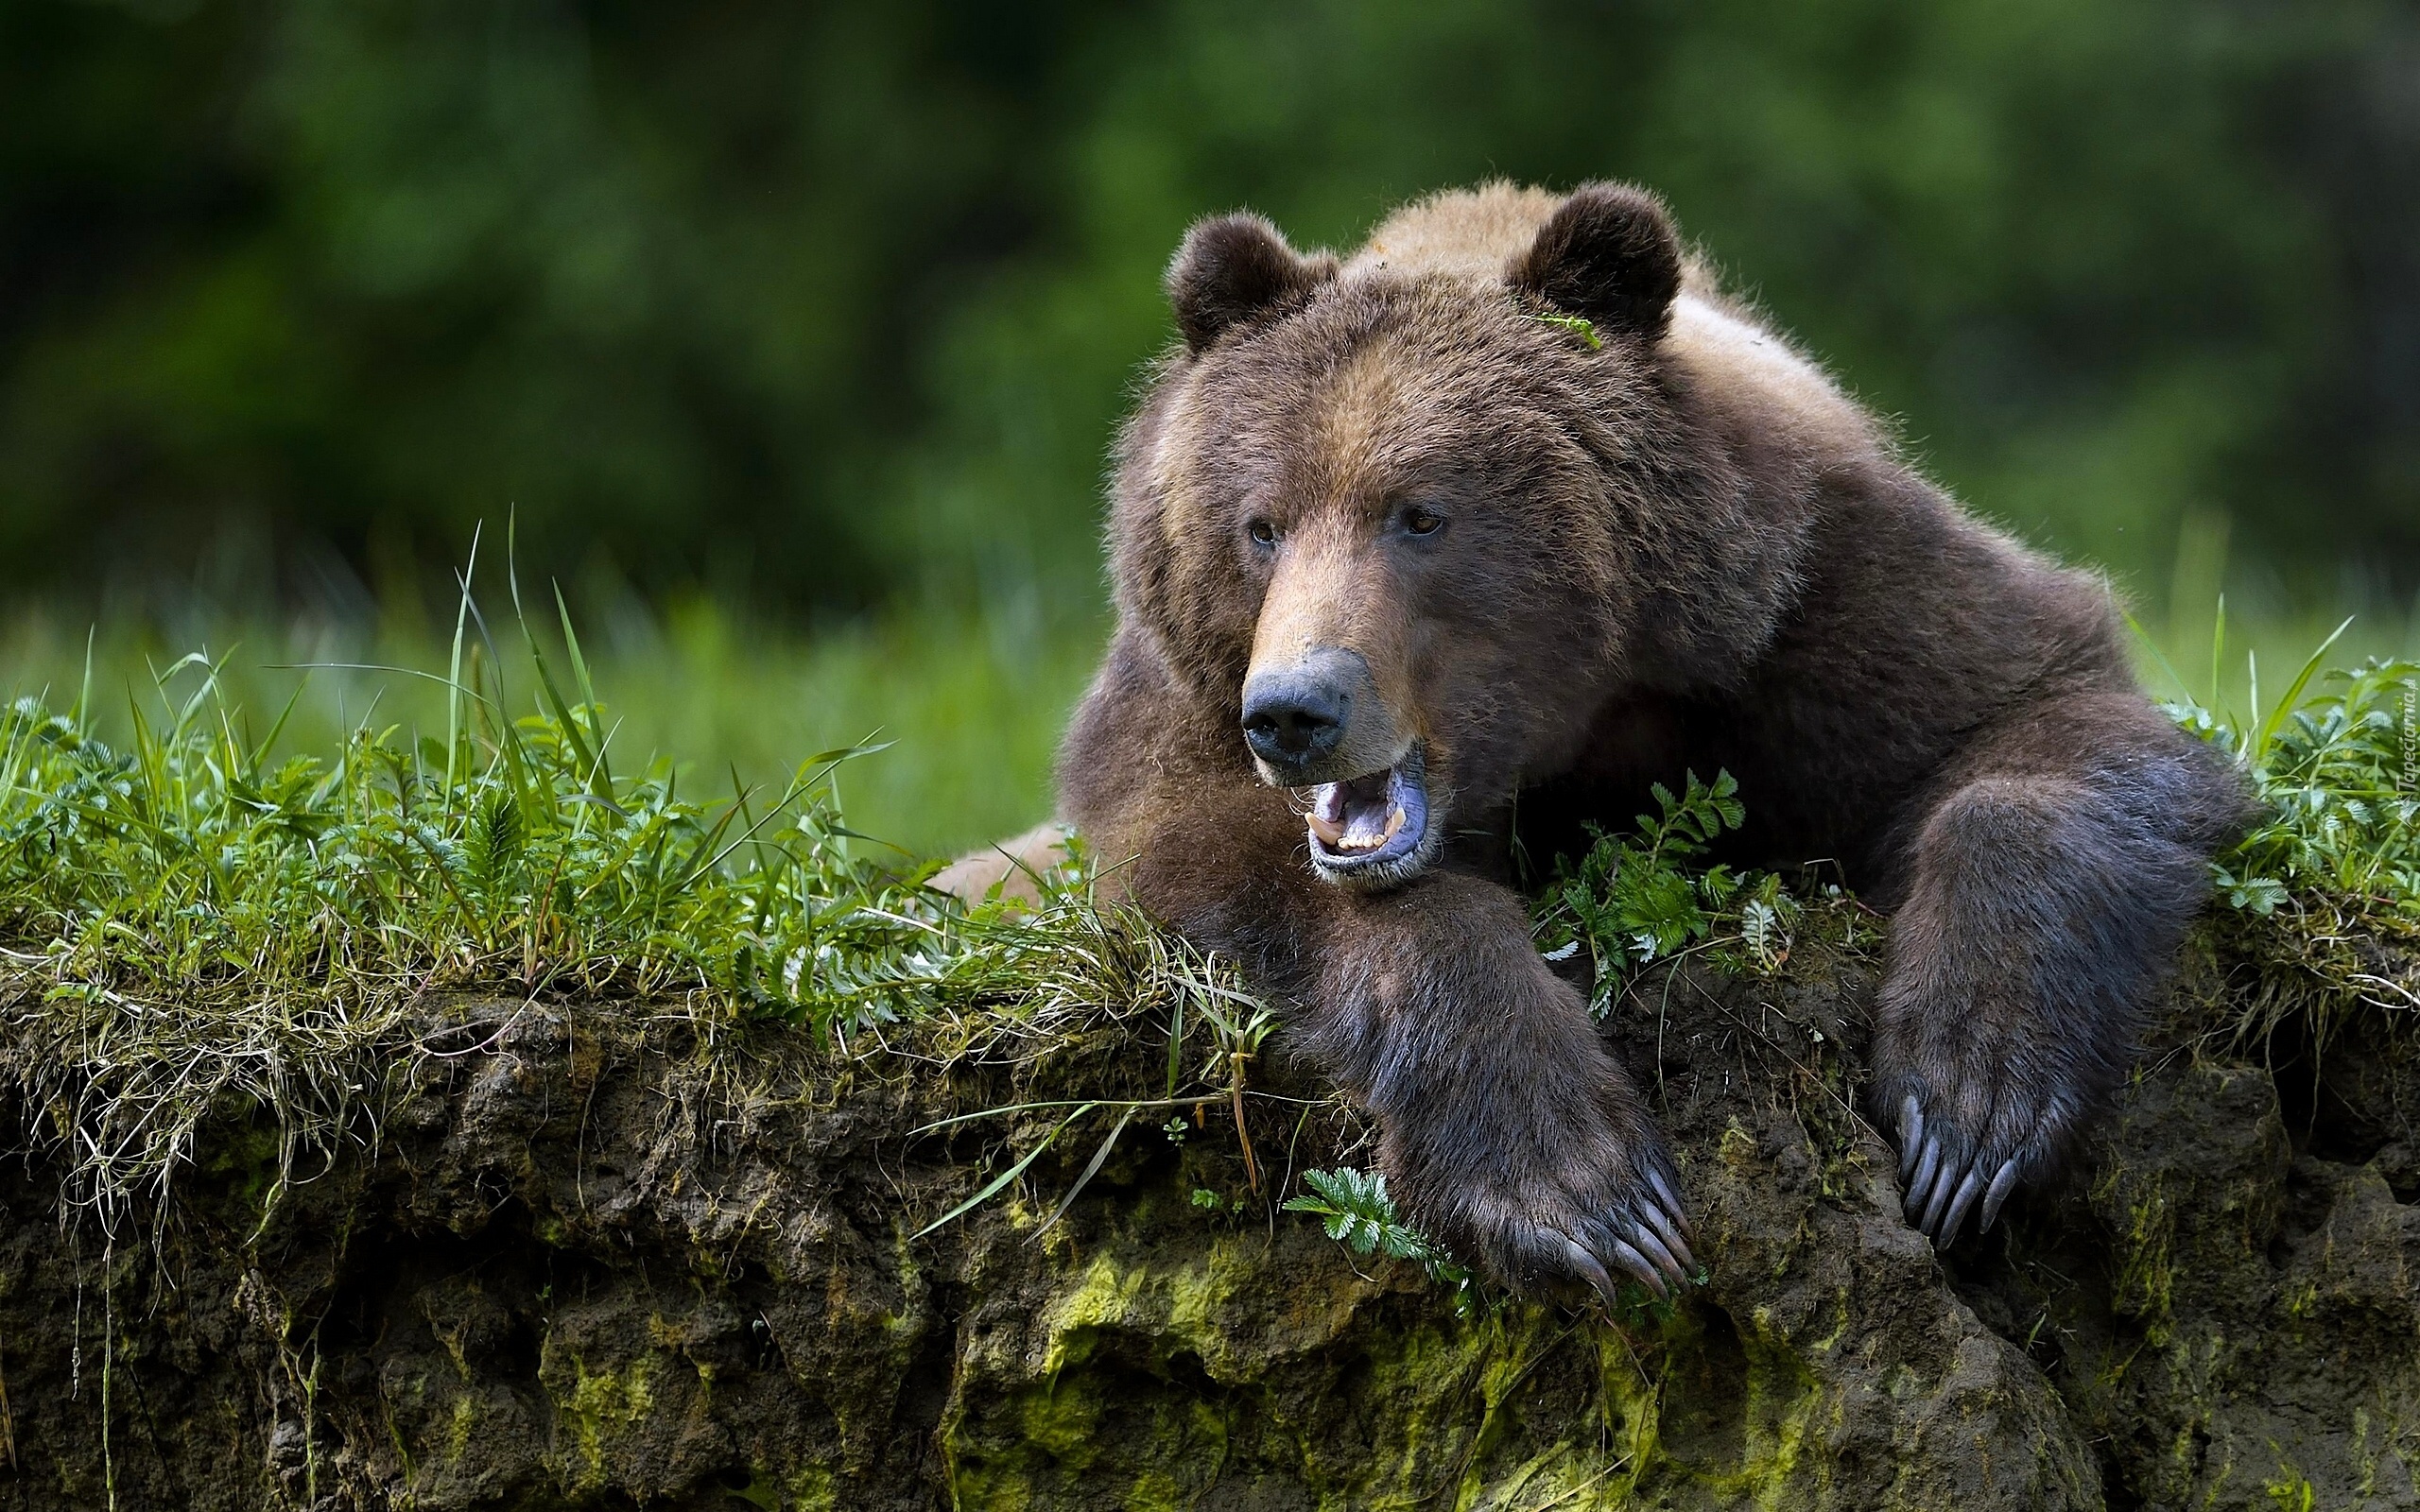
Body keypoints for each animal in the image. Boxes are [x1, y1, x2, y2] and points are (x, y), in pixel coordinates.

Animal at [948, 186, 2245, 1297]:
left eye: (1420, 514)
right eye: (1259, 525)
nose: (1293, 713)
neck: (1583, 716)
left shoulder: (1824, 605)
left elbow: (2038, 717)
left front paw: (1969, 1103)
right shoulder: (1176, 708)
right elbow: (1224, 858)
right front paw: (1582, 1190)